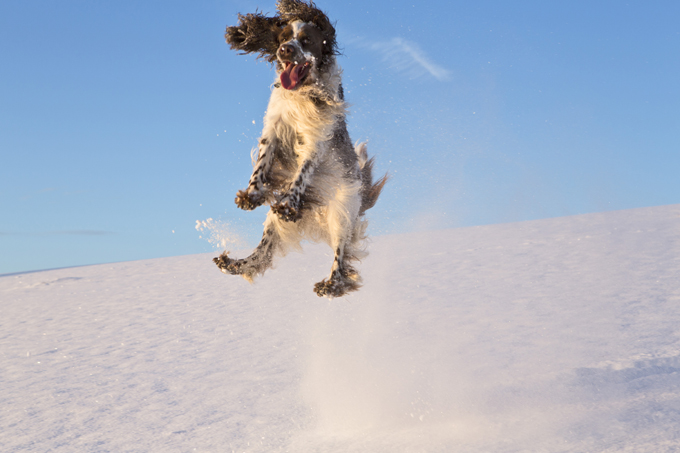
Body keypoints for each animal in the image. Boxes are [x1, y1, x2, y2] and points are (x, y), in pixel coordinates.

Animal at [214, 0, 382, 296]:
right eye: (282, 38)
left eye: (306, 40)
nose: (285, 50)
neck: (302, 92)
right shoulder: (274, 127)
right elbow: (261, 166)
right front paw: (251, 195)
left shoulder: (316, 138)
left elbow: (301, 174)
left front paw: (289, 204)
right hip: (274, 224)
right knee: (263, 251)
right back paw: (233, 264)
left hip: (343, 211)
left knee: (340, 253)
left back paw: (331, 284)